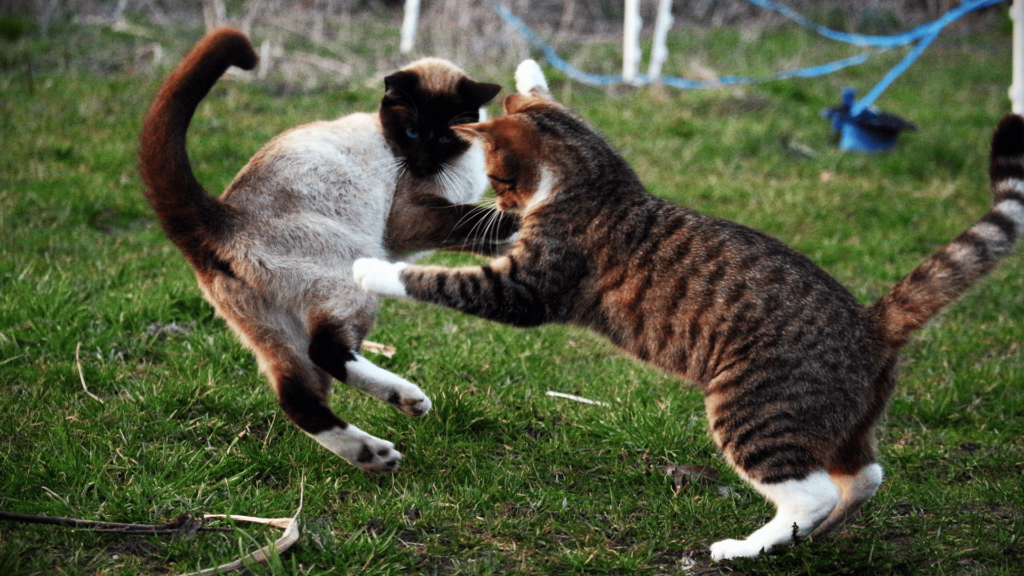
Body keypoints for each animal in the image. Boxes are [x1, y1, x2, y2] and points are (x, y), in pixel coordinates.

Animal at [354, 61, 1024, 557]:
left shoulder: (528, 286)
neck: (594, 180)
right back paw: (820, 533)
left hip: (751, 409)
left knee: (808, 494)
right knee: (865, 477)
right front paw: (529, 70)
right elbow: (552, 102)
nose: (504, 207)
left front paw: (370, 268)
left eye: (497, 177)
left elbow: (437, 279)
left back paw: (748, 547)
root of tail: (870, 322)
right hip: (844, 424)